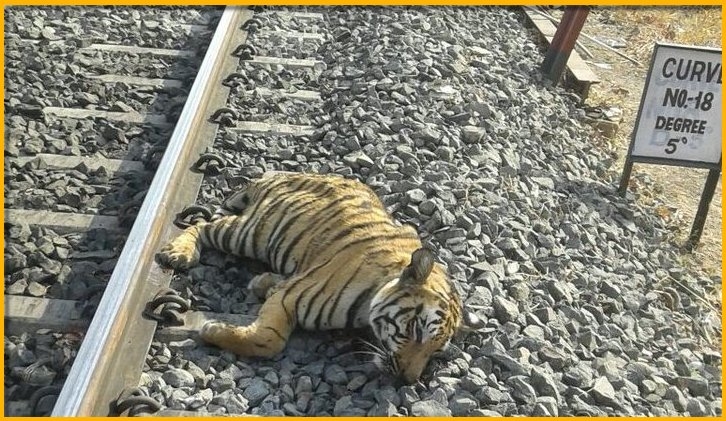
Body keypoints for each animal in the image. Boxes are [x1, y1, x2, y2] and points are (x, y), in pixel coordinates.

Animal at [155, 171, 481, 383]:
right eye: (416, 330)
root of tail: (281, 172)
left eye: (436, 351)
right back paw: (178, 252)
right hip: (250, 233)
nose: (408, 380)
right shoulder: (291, 298)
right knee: (203, 226)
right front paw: (212, 329)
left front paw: (262, 286)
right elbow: (268, 339)